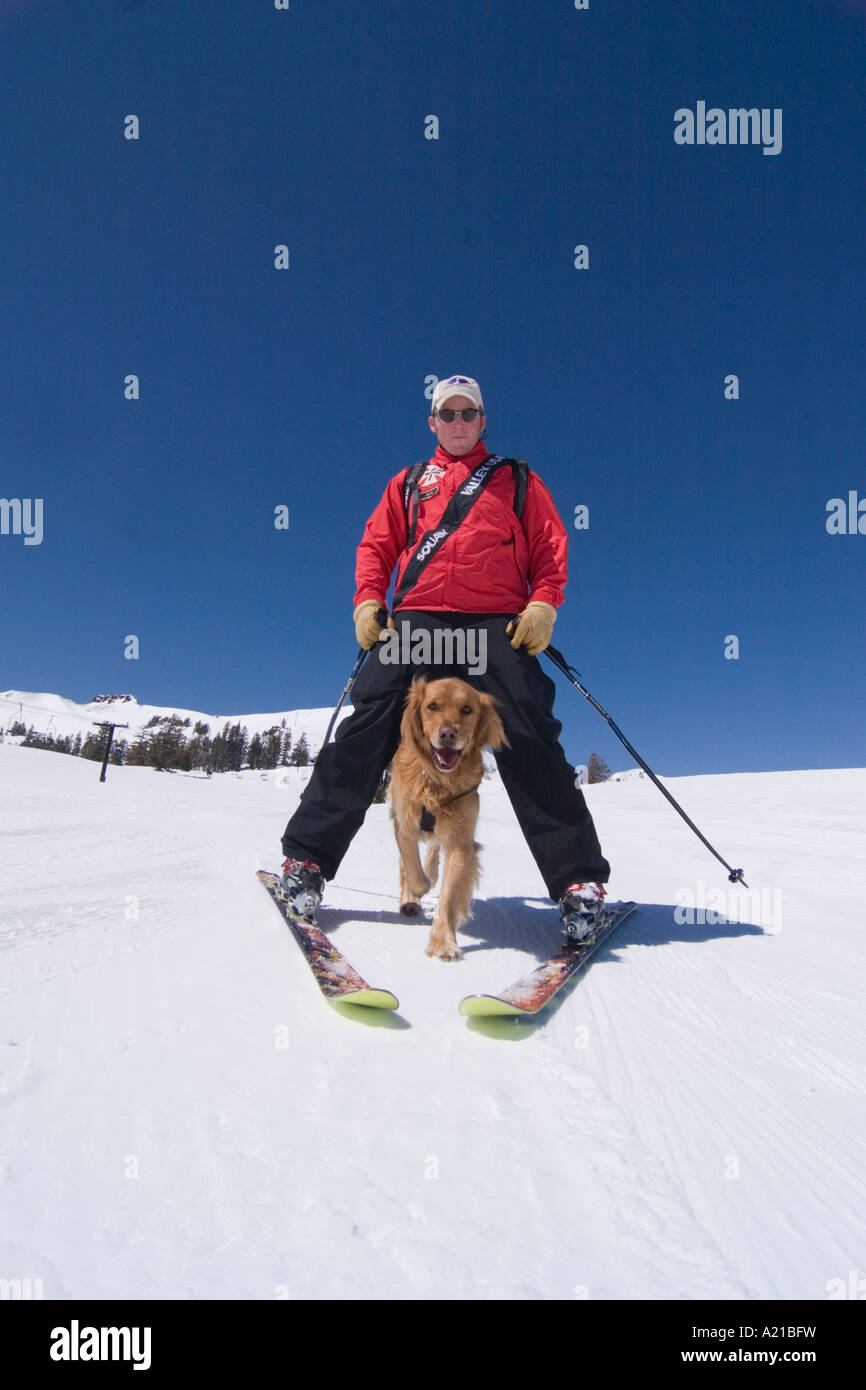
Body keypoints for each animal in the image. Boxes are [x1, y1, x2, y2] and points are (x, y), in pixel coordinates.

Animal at [389, 672, 508, 956]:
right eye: (432, 706)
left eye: (467, 710)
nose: (447, 733)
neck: (435, 781)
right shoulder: (403, 822)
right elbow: (411, 868)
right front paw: (417, 889)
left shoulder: (460, 840)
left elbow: (449, 893)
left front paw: (442, 942)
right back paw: (410, 897)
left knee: (433, 848)